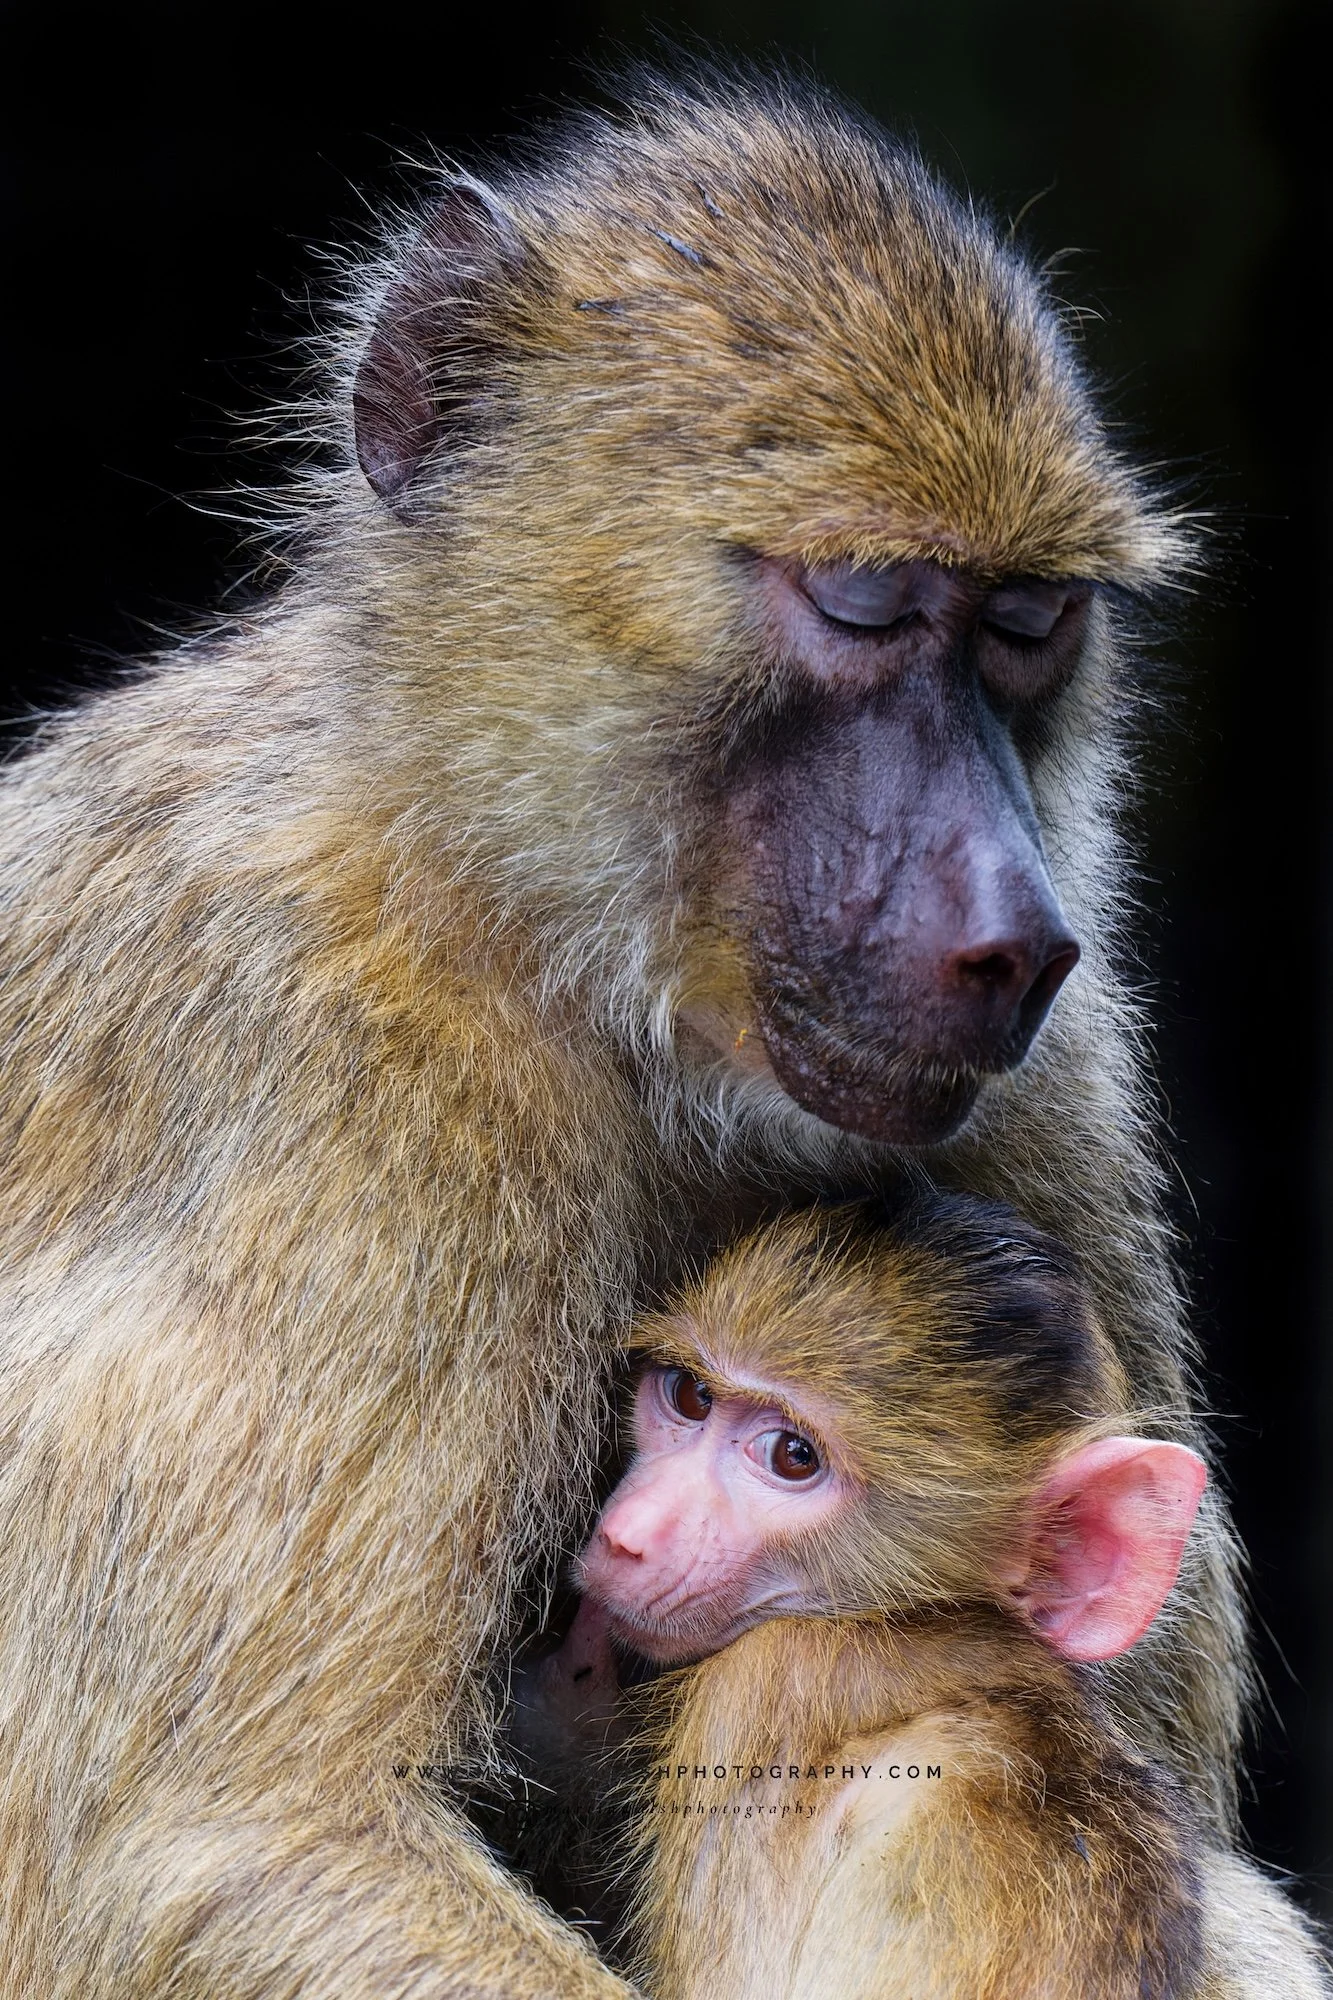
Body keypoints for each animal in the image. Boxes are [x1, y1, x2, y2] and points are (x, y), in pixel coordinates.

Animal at [0, 60, 1324, 2000]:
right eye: (862, 603)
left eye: (1027, 626)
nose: (1009, 933)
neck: (520, 900)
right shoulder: (342, 1074)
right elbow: (216, 1847)